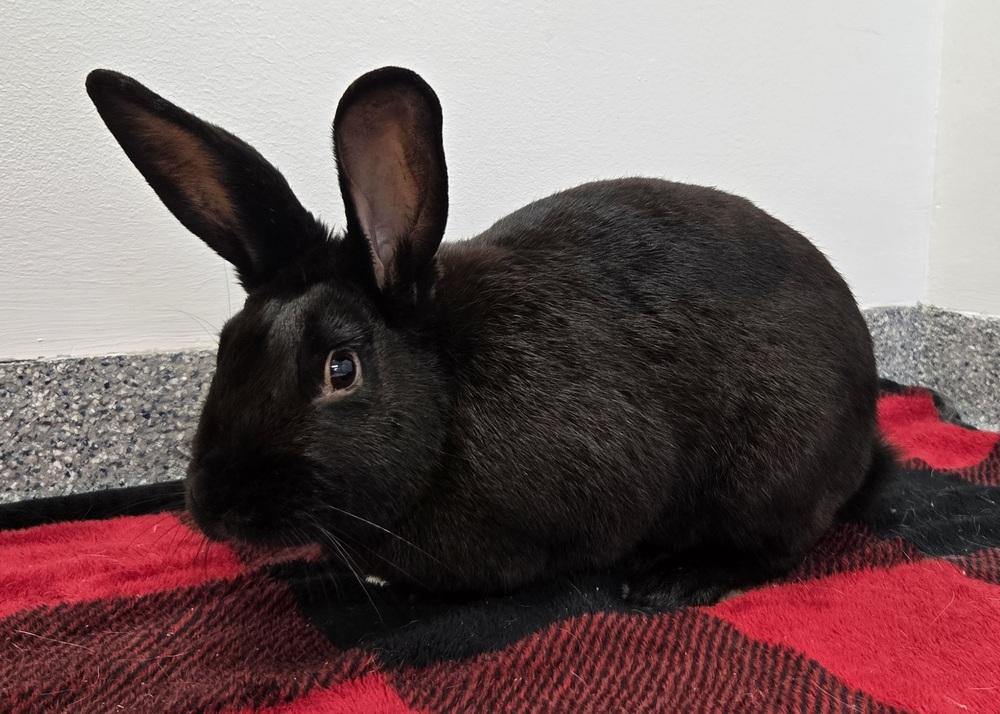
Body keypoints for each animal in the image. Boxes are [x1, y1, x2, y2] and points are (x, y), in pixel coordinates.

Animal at [85, 66, 885, 609]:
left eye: (341, 369)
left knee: (775, 547)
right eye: (227, 347)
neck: (446, 398)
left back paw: (675, 579)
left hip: (771, 470)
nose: (216, 507)